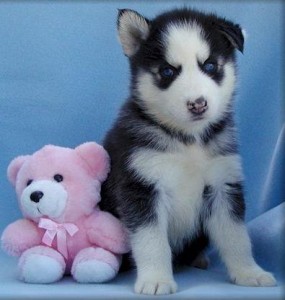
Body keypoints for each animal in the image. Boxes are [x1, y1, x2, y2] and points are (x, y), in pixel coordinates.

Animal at [100, 7, 276, 296]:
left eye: (210, 66)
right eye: (167, 71)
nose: (198, 104)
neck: (188, 141)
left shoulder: (223, 185)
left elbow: (237, 237)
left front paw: (249, 273)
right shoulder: (141, 187)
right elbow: (152, 240)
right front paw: (156, 279)